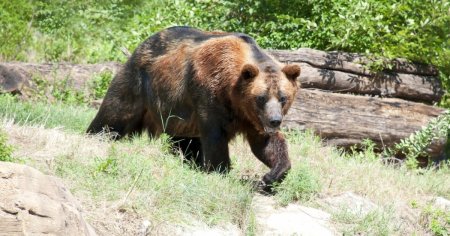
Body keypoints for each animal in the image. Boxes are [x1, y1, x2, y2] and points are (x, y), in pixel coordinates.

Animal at [86, 26, 300, 188]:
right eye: (261, 97)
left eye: (283, 97)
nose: (275, 120)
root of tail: (141, 45)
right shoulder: (209, 94)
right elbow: (215, 136)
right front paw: (219, 171)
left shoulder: (251, 117)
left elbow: (265, 144)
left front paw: (271, 176)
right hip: (138, 85)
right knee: (114, 116)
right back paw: (95, 135)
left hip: (178, 114)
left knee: (185, 141)